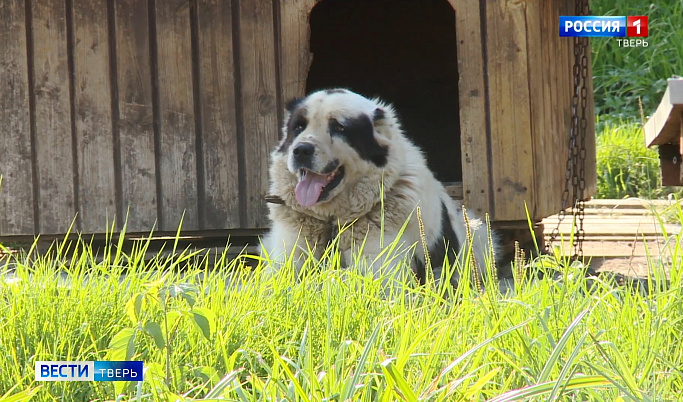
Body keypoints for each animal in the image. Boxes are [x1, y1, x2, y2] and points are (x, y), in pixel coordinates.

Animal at [260, 88, 500, 288]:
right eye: (299, 127)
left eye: (339, 127)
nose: (301, 150)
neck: (332, 221)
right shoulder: (288, 255)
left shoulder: (380, 268)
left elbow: (336, 276)